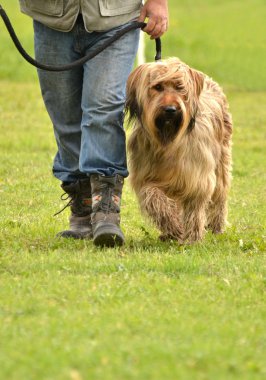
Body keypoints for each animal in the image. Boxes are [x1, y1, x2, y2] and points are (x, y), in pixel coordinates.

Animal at [125, 58, 232, 243]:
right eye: (158, 87)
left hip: (221, 161)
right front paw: (173, 226)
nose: (170, 110)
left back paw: (216, 226)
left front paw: (193, 237)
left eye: (180, 87)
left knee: (219, 194)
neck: (168, 140)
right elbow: (153, 196)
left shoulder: (195, 175)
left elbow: (195, 206)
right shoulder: (146, 175)